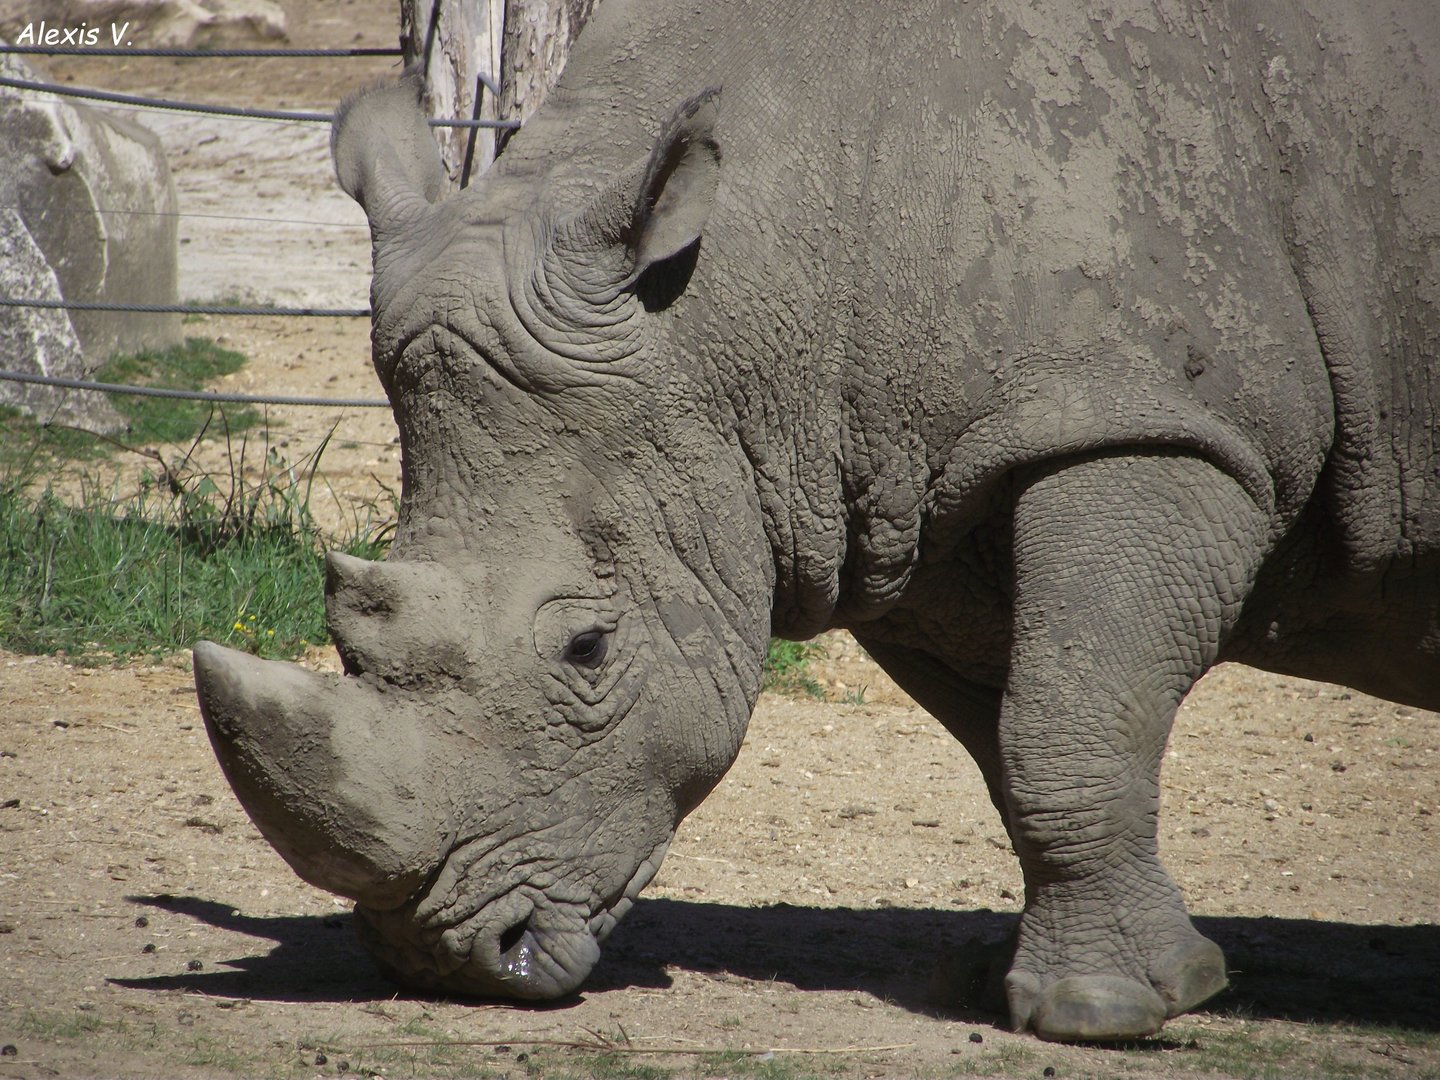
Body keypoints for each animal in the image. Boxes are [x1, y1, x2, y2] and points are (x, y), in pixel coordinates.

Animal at [193, 0, 1440, 1042]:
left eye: (589, 649)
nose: (443, 959)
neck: (739, 299)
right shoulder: (911, 501)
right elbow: (1020, 739)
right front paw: (1026, 980)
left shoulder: (1151, 424)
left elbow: (1069, 721)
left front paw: (1100, 1011)